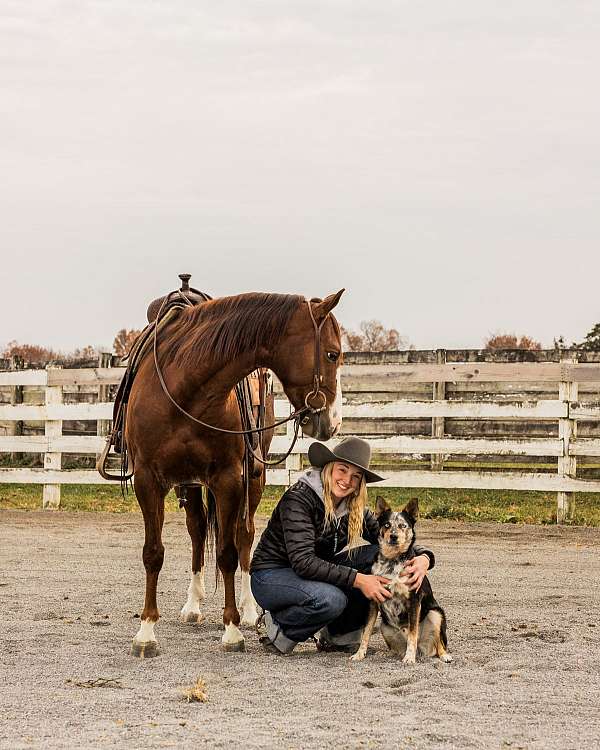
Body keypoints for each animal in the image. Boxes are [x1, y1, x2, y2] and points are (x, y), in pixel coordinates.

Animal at [124, 290, 344, 656]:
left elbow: (228, 552)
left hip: (253, 478)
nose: (333, 422)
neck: (186, 388)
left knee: (245, 535)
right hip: (191, 484)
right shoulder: (148, 480)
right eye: (332, 353)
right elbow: (153, 553)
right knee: (198, 530)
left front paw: (232, 629)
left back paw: (251, 609)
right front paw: (146, 631)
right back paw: (193, 605)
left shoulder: (228, 480)